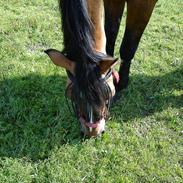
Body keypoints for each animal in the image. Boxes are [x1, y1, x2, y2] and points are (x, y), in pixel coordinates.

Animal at [44, 0, 157, 137]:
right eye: (72, 96)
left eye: (107, 94)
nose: (93, 132)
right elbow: (110, 34)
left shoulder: (142, 4)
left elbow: (128, 46)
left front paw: (121, 84)